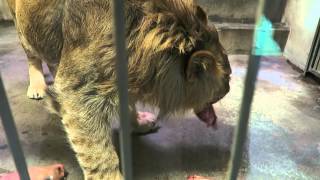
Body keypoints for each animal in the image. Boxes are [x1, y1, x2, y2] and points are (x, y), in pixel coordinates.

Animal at [7, 0, 231, 179]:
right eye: (227, 78)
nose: (229, 88)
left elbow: (128, 105)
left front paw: (139, 124)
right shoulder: (78, 94)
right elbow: (98, 154)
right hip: (22, 29)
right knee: (32, 58)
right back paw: (38, 87)